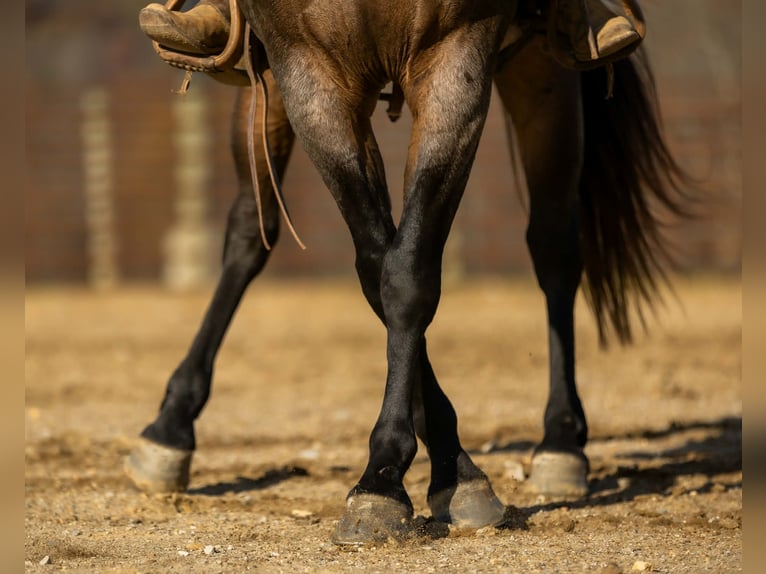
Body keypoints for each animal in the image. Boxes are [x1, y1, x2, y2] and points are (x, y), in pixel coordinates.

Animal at [125, 0, 689, 546]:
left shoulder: (455, 63)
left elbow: (407, 275)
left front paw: (390, 479)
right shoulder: (304, 69)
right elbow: (377, 265)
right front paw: (433, 468)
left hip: (544, 70)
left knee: (554, 246)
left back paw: (561, 441)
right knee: (250, 228)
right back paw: (170, 427)